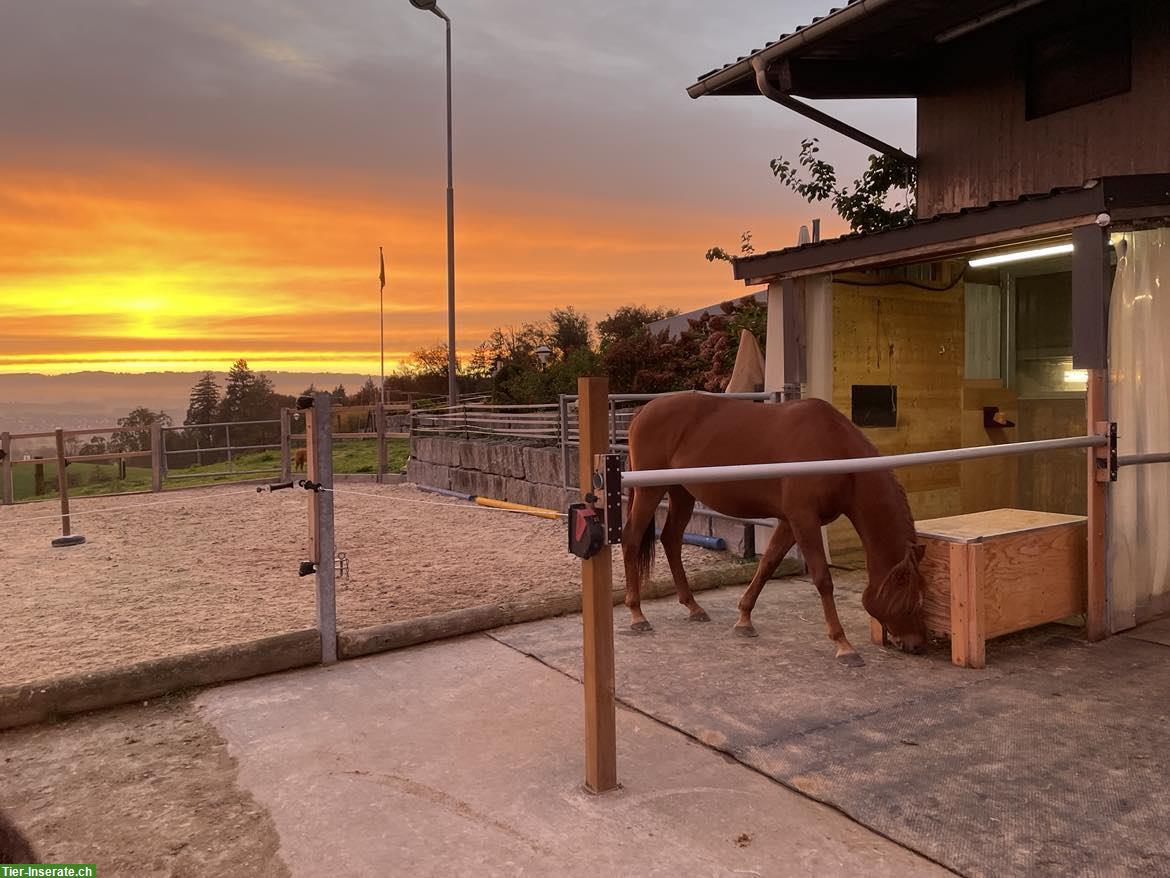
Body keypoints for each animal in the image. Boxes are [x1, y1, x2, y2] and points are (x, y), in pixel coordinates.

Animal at [617, 393, 926, 664]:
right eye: (912, 602)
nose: (917, 645)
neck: (833, 447)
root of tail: (643, 411)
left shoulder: (790, 522)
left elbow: (768, 564)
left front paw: (744, 619)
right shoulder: (804, 519)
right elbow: (822, 579)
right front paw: (843, 644)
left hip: (682, 493)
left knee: (671, 539)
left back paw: (693, 607)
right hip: (650, 491)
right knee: (631, 537)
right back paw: (637, 615)